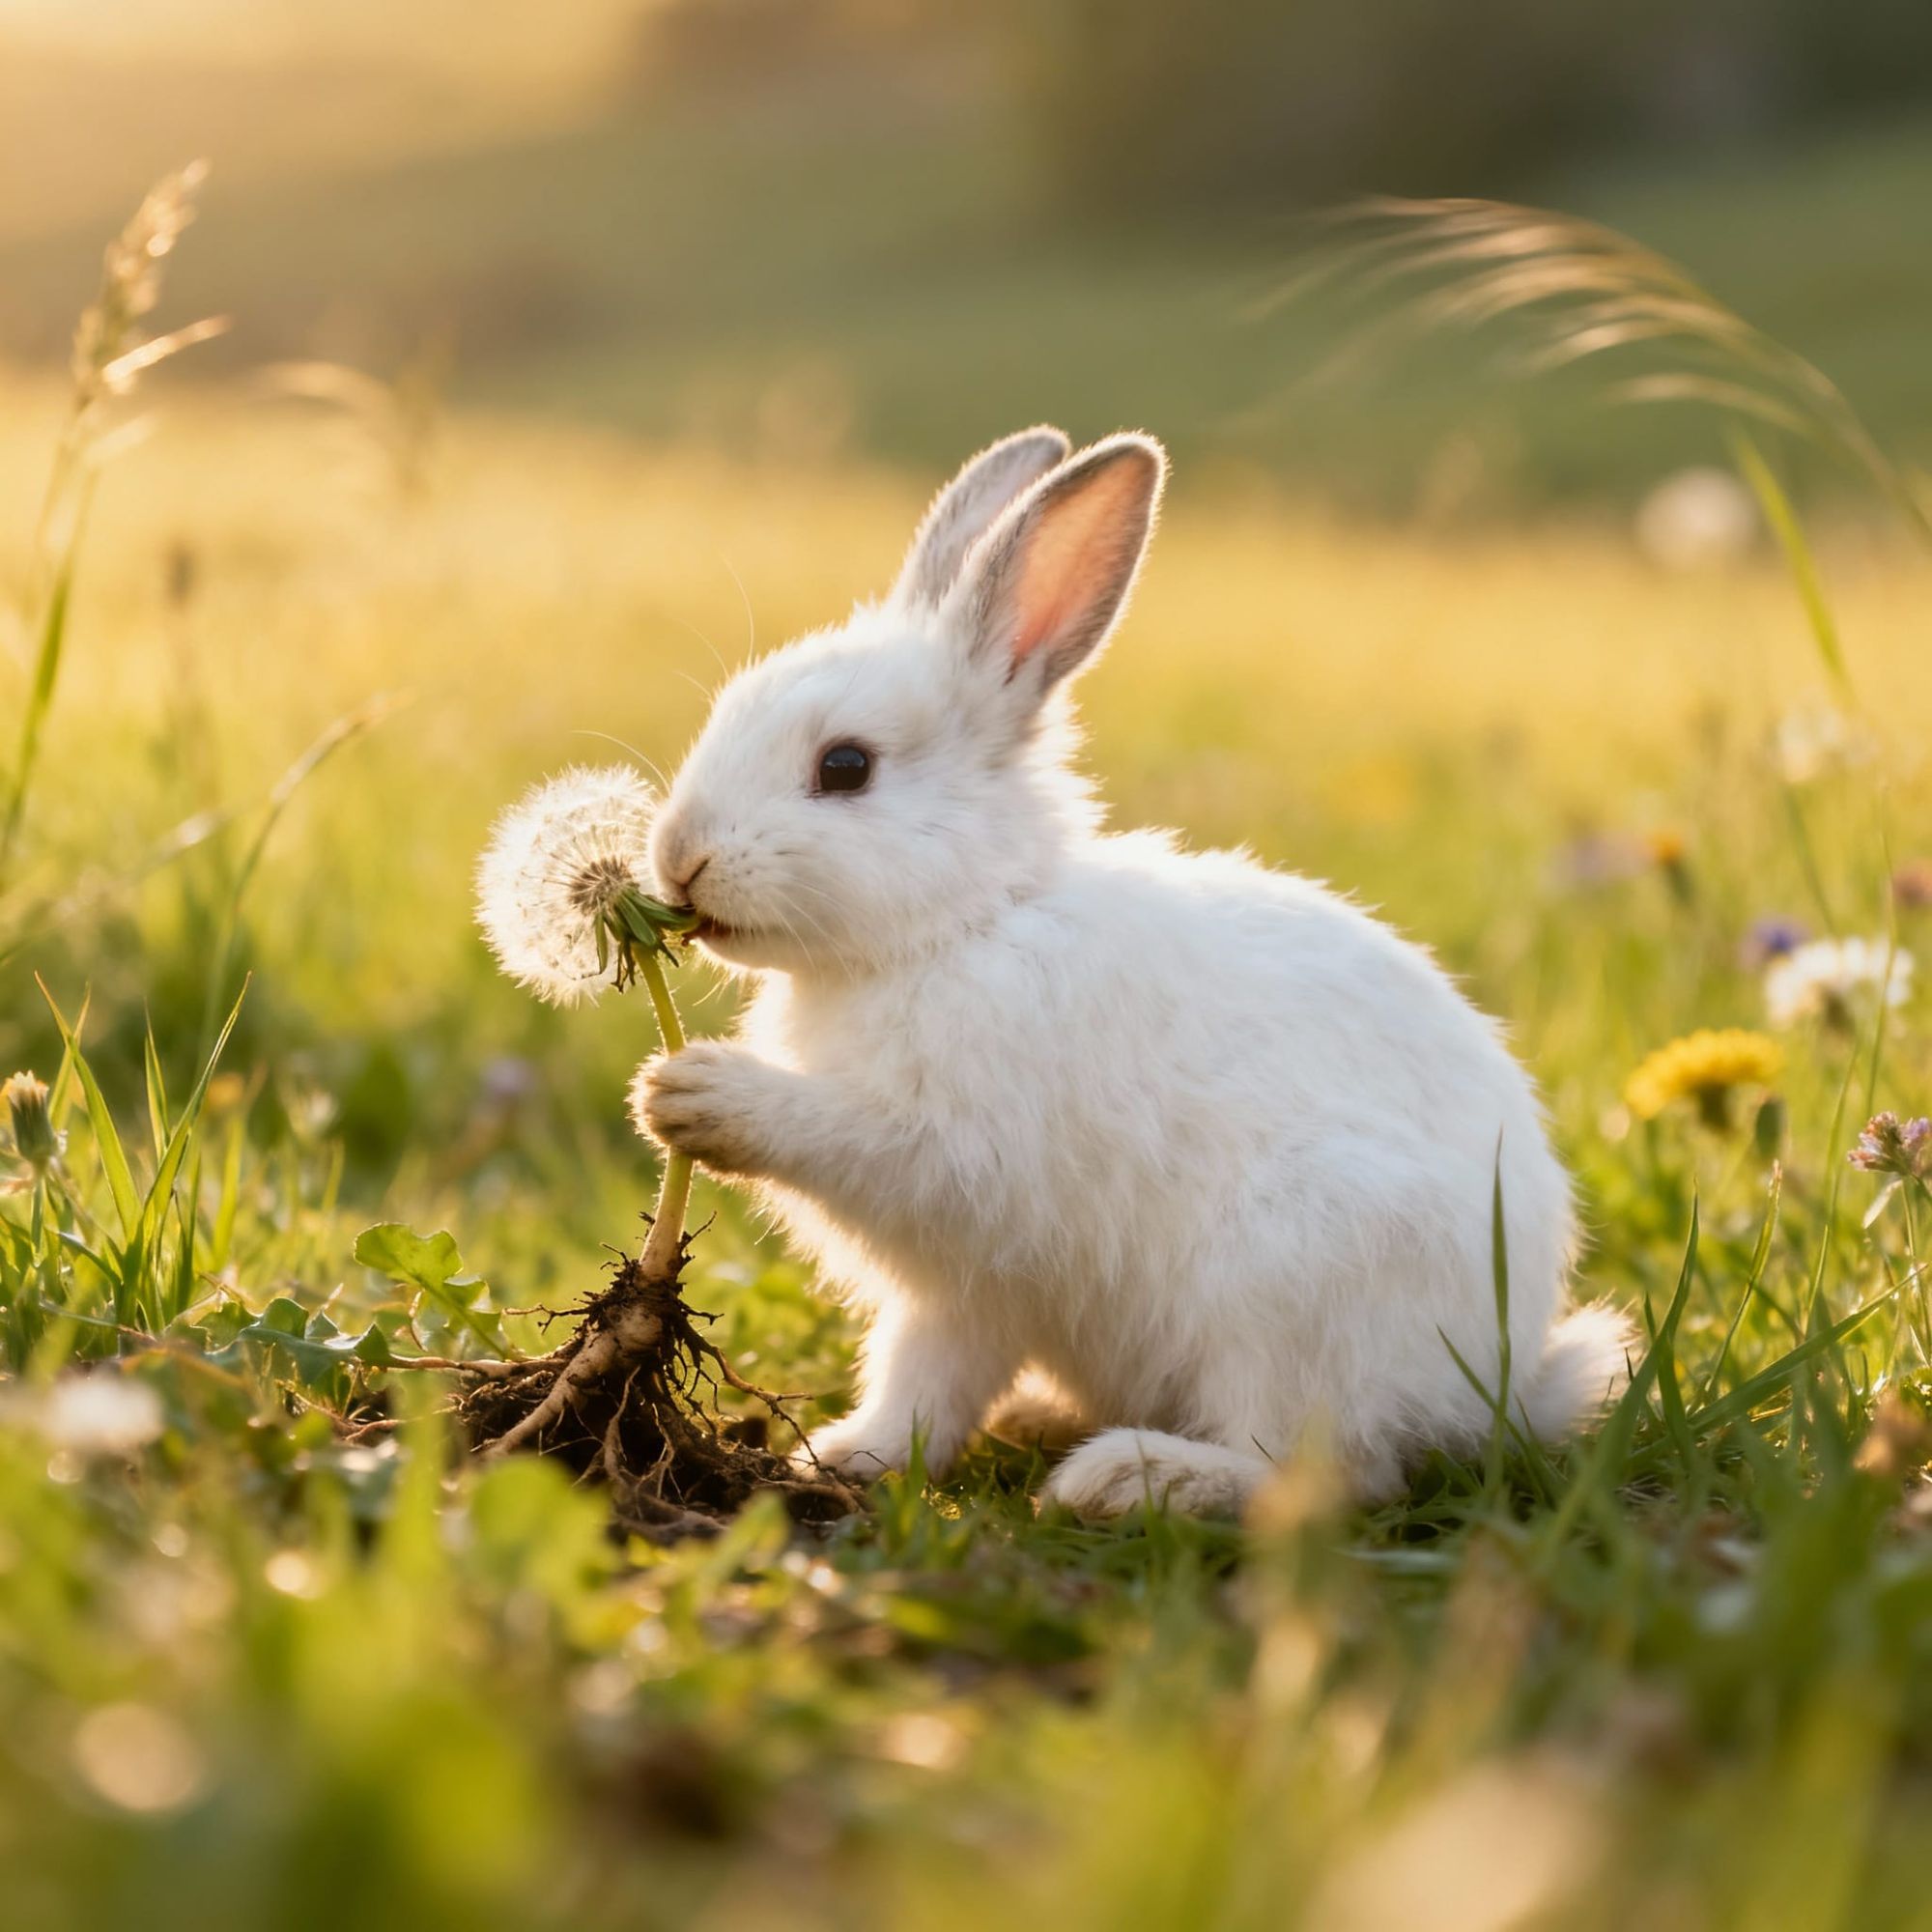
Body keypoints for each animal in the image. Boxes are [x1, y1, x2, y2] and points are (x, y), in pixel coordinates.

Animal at [632, 425, 1632, 1515]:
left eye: (845, 767)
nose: (677, 858)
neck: (967, 920)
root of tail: (1500, 1382)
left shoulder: (951, 1154)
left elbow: (850, 1144)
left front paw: (689, 1093)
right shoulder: (966, 1291)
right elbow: (919, 1384)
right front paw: (841, 1458)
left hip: (1292, 1282)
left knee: (1320, 1472)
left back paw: (1125, 1479)